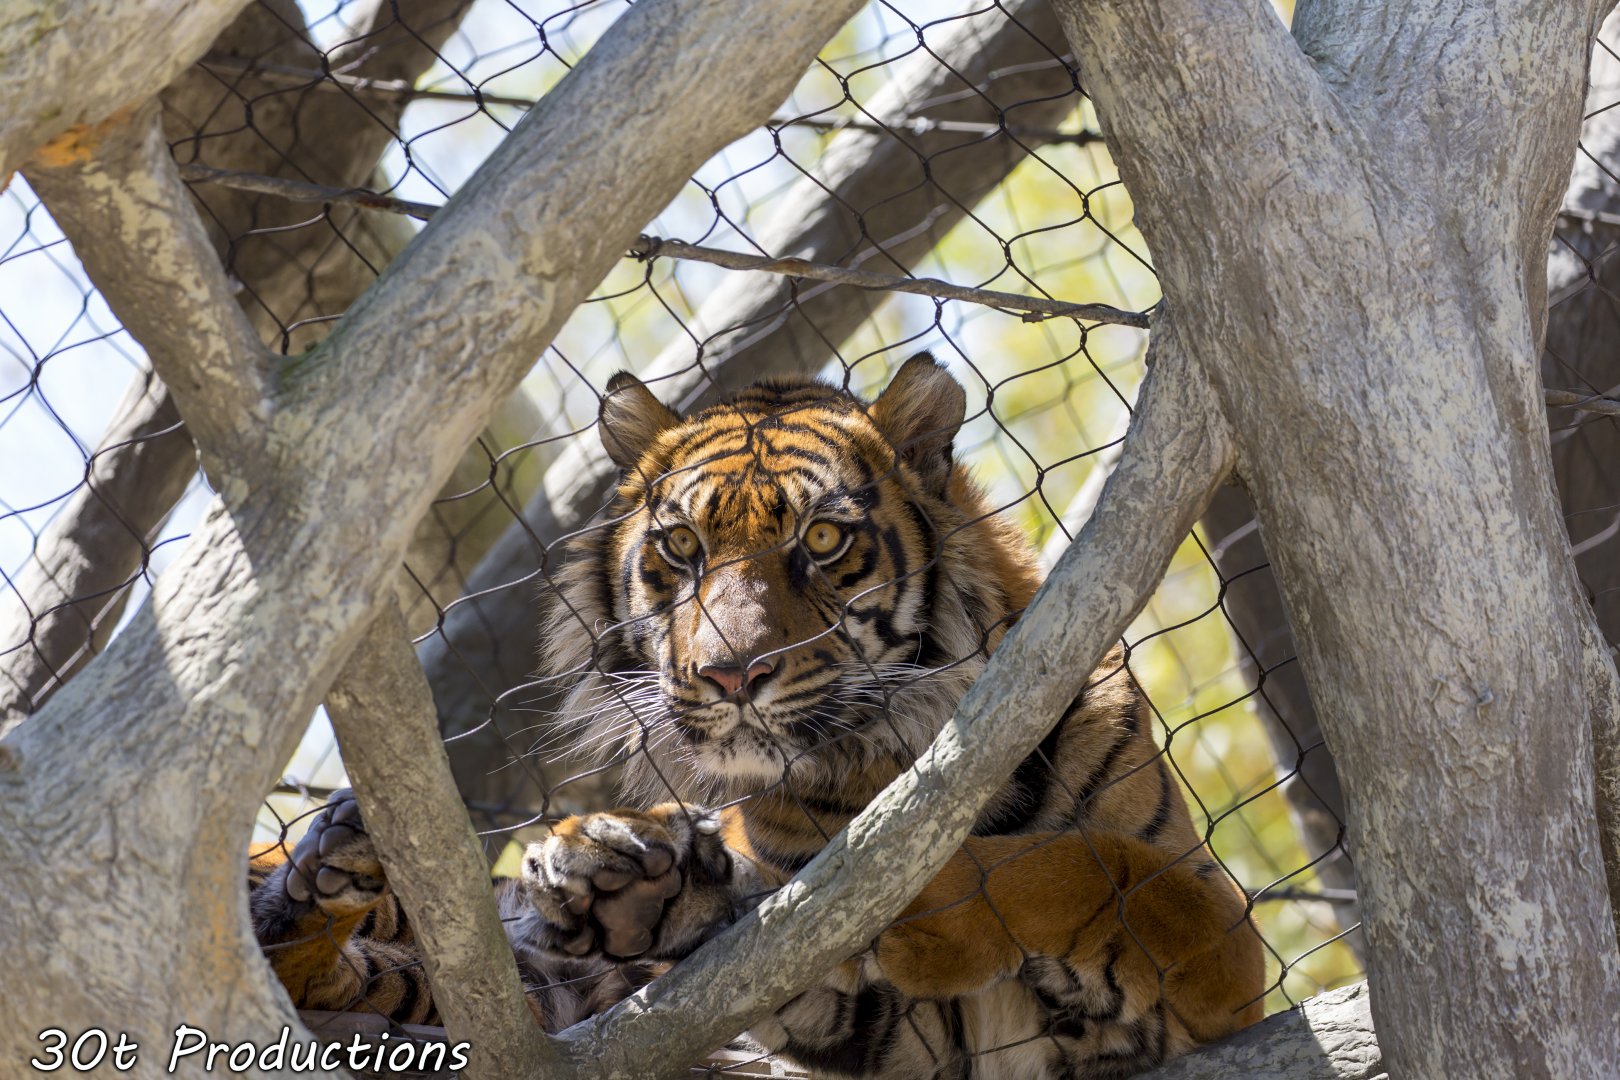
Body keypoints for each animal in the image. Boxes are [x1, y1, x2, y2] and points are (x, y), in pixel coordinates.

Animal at [249, 353, 1265, 1077]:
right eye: (681, 546)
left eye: (823, 538)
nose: (732, 673)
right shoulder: (895, 1040)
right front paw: (631, 876)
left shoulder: (1217, 981)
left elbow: (1101, 866)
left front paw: (918, 908)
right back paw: (332, 867)